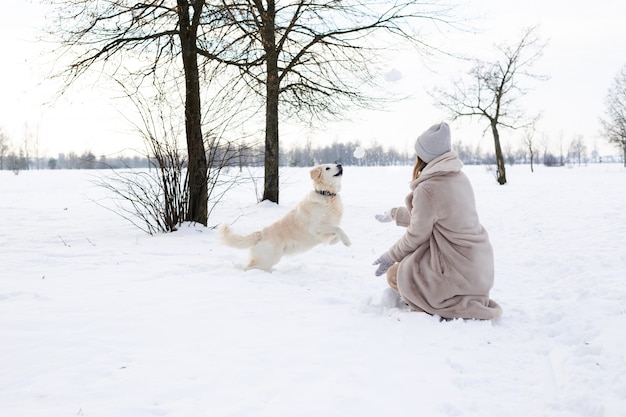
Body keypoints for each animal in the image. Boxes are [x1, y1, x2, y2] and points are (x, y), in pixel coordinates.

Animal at [217, 164, 348, 272]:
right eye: (327, 168)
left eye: (334, 164)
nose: (339, 164)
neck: (327, 195)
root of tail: (260, 234)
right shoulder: (317, 228)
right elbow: (338, 229)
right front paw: (347, 241)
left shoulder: (328, 229)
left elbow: (337, 233)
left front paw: (337, 241)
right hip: (270, 258)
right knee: (249, 268)